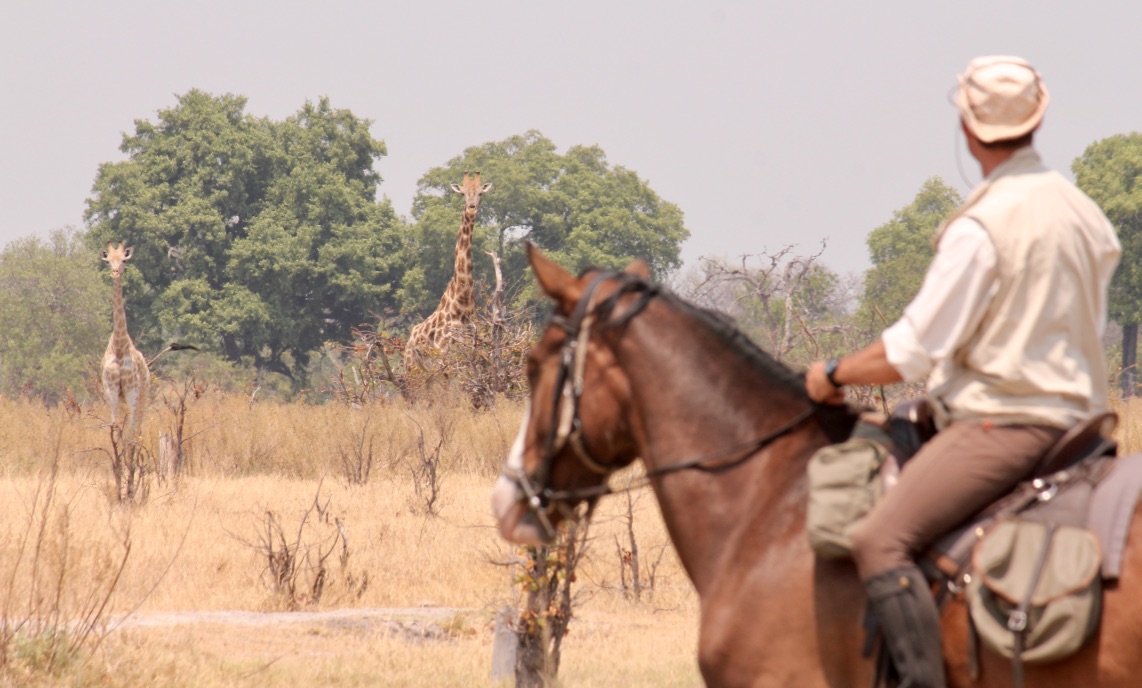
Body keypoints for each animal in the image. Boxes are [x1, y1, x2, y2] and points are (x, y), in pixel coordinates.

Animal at [100, 242, 150, 438]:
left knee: (137, 428)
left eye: (124, 260)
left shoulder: (132, 390)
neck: (119, 346)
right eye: (108, 261)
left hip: (142, 393)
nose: (115, 272)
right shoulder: (111, 390)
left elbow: (131, 431)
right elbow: (115, 427)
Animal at [404, 171, 488, 372]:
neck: (462, 304)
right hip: (413, 369)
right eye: (463, 193)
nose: (472, 207)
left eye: (480, 193)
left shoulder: (471, 355)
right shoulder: (443, 356)